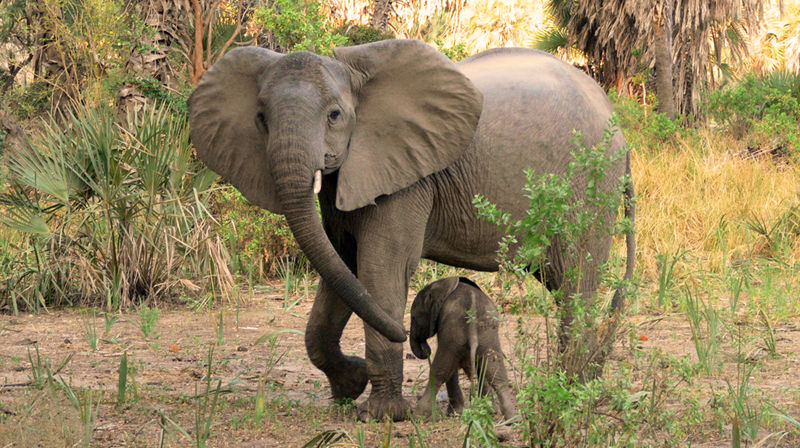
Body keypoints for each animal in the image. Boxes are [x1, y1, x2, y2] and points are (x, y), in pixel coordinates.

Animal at [410, 277, 516, 420]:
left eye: (413, 317)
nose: (426, 350)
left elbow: (449, 367)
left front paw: (454, 413)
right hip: (488, 332)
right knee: (496, 371)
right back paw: (512, 418)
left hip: (456, 329)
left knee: (439, 371)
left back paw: (418, 416)